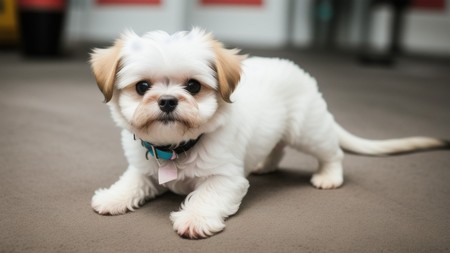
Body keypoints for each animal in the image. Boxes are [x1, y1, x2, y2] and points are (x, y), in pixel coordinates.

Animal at [89, 28, 450, 239]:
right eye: (142, 87)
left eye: (193, 86)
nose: (166, 101)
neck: (177, 147)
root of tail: (298, 70)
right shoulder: (143, 167)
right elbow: (133, 182)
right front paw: (114, 197)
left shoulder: (226, 178)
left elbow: (207, 195)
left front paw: (196, 218)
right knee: (276, 147)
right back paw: (267, 165)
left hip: (309, 131)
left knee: (332, 152)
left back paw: (329, 176)